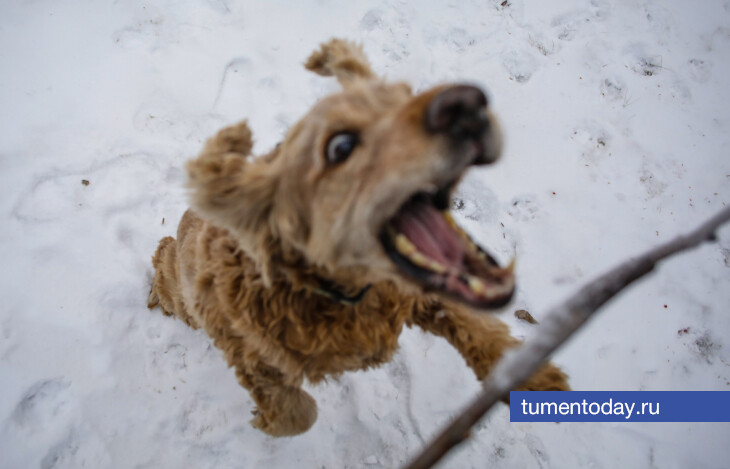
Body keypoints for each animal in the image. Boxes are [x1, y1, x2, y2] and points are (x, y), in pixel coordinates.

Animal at [148, 38, 568, 436]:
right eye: (341, 146)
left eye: (406, 93)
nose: (466, 103)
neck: (336, 294)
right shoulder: (250, 357)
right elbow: (298, 415)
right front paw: (265, 420)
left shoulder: (416, 293)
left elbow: (475, 325)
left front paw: (531, 374)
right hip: (181, 289)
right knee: (165, 265)